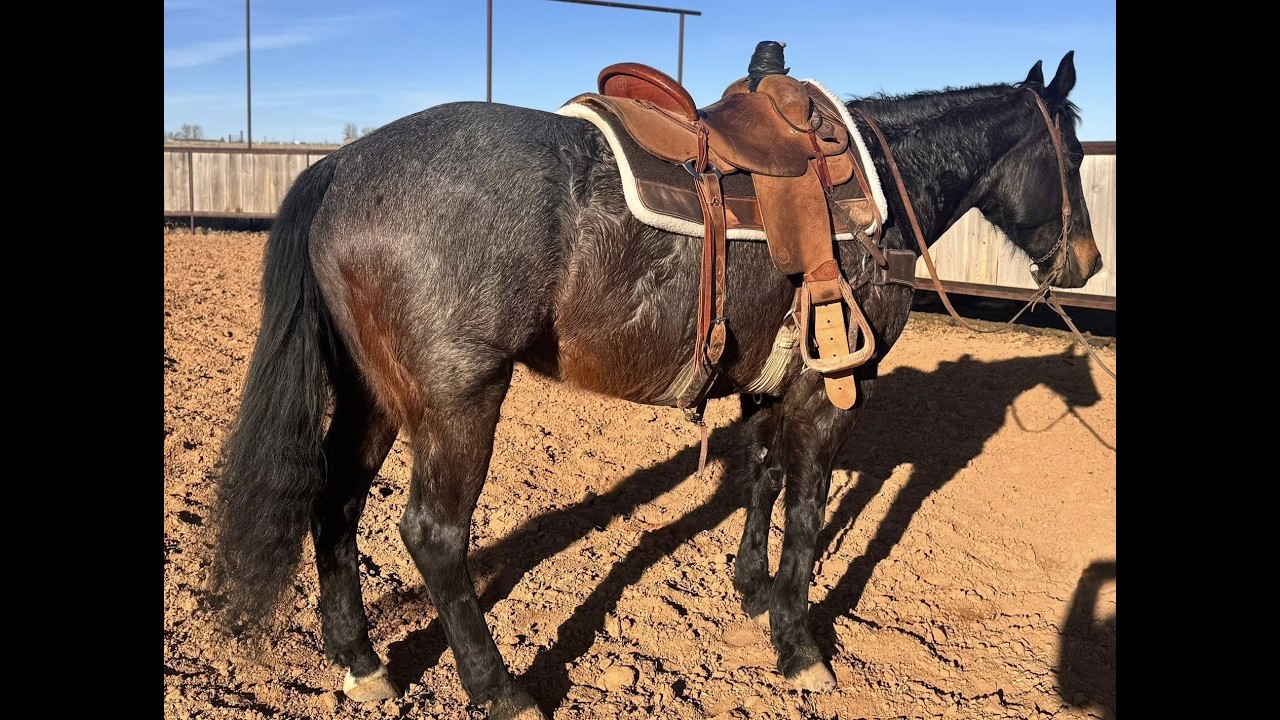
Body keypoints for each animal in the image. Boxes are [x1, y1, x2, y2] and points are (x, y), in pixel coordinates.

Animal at [208, 50, 1102, 719]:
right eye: (1074, 156)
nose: (1088, 263)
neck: (877, 193)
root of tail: (340, 166)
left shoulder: (767, 383)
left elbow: (762, 478)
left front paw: (750, 590)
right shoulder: (830, 392)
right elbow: (808, 512)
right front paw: (798, 645)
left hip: (373, 397)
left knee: (335, 504)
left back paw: (361, 661)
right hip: (458, 402)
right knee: (433, 535)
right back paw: (501, 689)